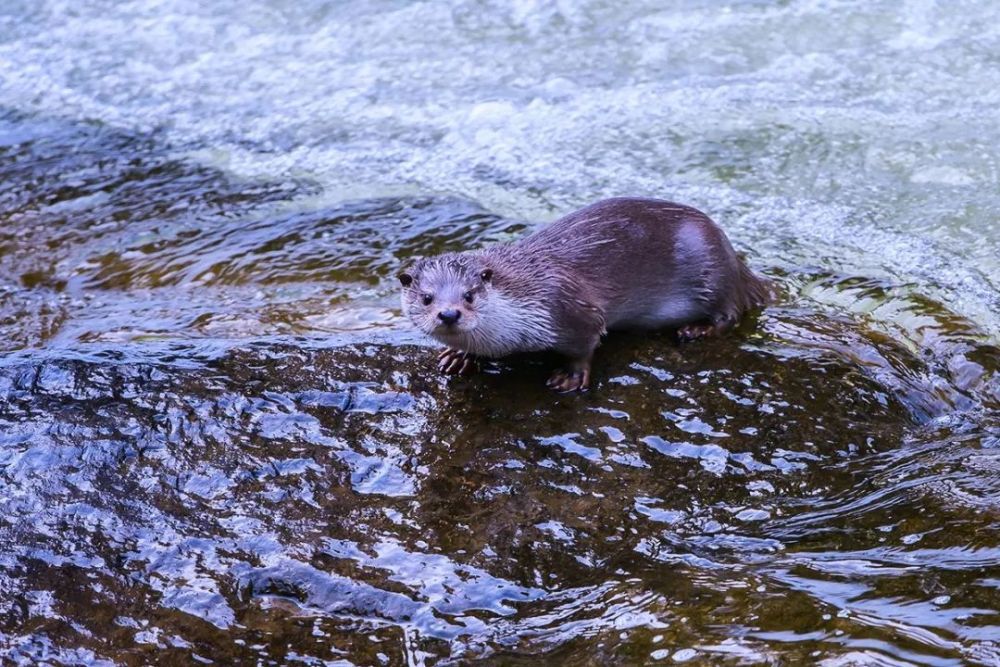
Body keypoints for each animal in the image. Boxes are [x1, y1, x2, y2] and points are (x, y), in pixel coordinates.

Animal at [394, 201, 768, 394]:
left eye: (469, 295)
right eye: (427, 298)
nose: (449, 314)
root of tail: (736, 258)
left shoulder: (566, 305)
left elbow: (586, 343)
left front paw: (570, 376)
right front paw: (459, 356)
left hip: (711, 270)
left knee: (731, 312)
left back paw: (696, 330)